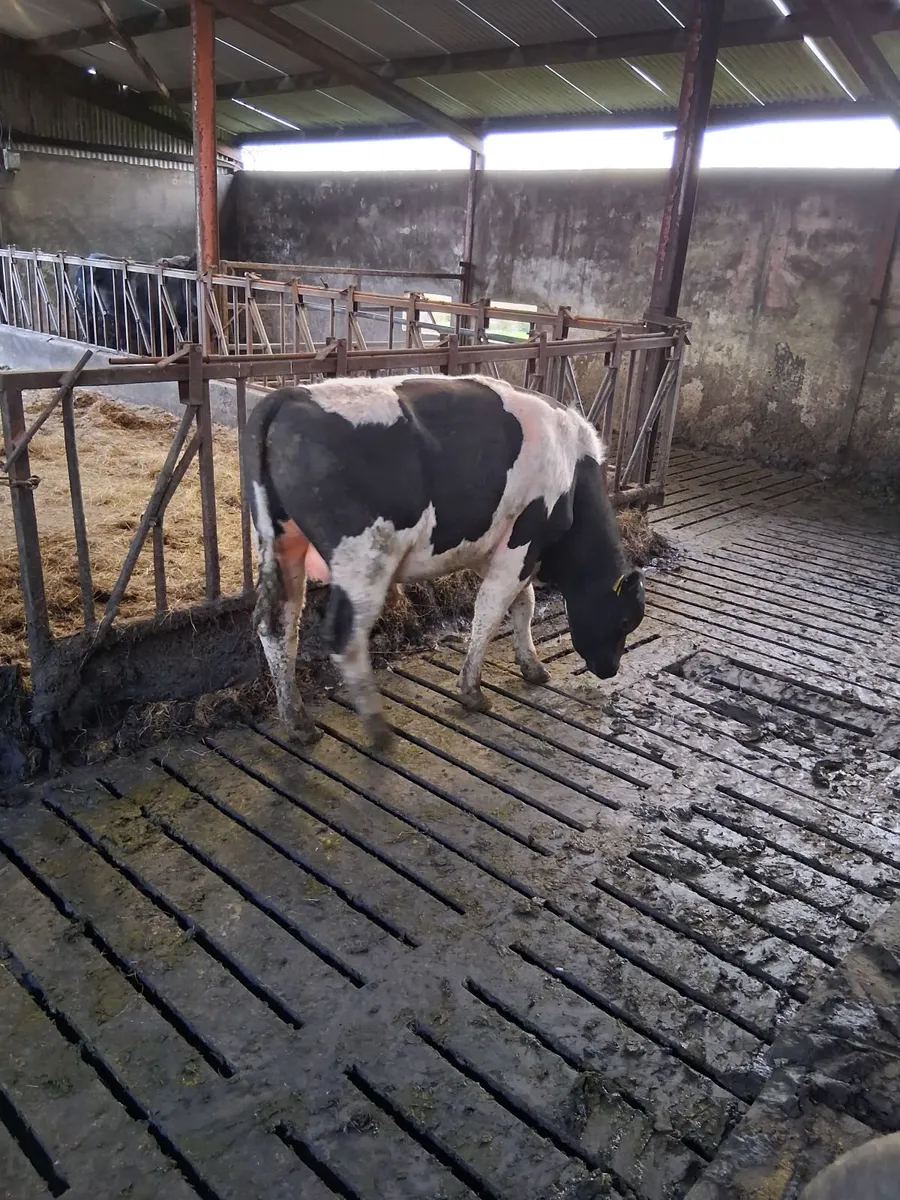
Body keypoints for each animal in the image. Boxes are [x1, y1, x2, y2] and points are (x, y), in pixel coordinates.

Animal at [243, 374, 646, 750]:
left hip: (280, 545)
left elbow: (523, 603)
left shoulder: (495, 548)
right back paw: (377, 728)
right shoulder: (525, 539)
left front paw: (531, 665)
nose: (610, 669)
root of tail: (287, 397)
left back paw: (298, 723)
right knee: (344, 635)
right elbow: (491, 609)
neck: (573, 469)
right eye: (626, 619)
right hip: (364, 558)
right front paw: (471, 690)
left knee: (277, 626)